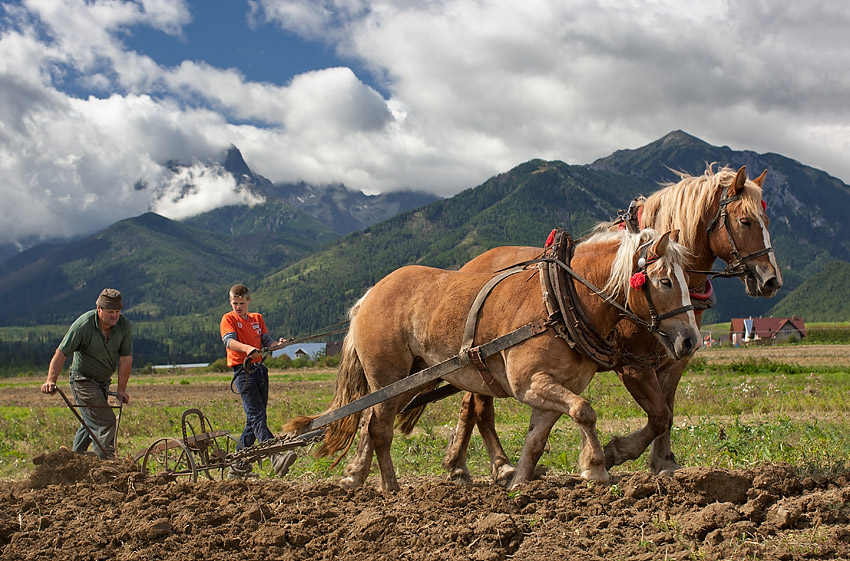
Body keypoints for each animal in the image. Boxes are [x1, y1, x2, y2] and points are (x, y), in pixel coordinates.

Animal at [284, 228, 696, 490]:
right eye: (664, 282)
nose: (690, 339)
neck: (563, 301)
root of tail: (368, 296)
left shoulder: (549, 390)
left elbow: (537, 438)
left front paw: (519, 482)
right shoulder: (528, 382)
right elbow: (585, 411)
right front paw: (596, 467)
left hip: (410, 379)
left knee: (370, 419)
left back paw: (356, 477)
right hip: (387, 374)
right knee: (380, 428)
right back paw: (390, 488)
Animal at [408, 163, 780, 486]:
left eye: (766, 219)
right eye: (745, 221)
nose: (771, 280)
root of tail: (467, 267)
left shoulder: (674, 360)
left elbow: (668, 412)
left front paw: (664, 463)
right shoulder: (634, 365)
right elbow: (658, 414)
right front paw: (615, 453)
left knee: (474, 403)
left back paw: (471, 466)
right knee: (477, 406)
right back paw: (486, 467)